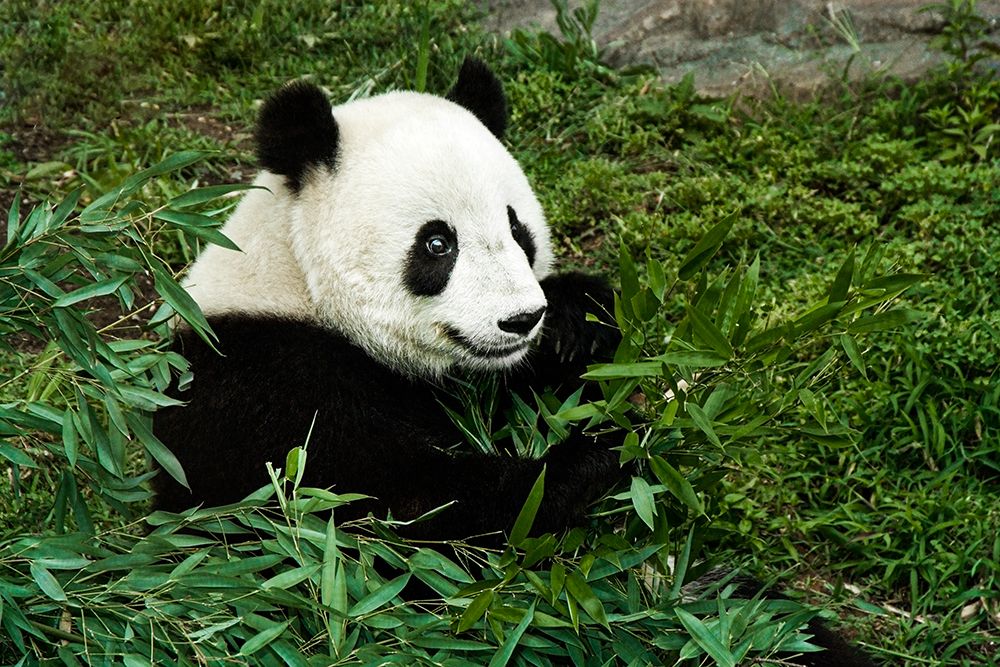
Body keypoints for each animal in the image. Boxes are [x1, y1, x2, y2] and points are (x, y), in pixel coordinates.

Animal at [152, 59, 874, 667]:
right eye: (437, 243)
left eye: (517, 228)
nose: (521, 319)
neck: (295, 287)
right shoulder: (263, 396)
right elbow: (394, 519)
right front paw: (594, 457)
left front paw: (578, 325)